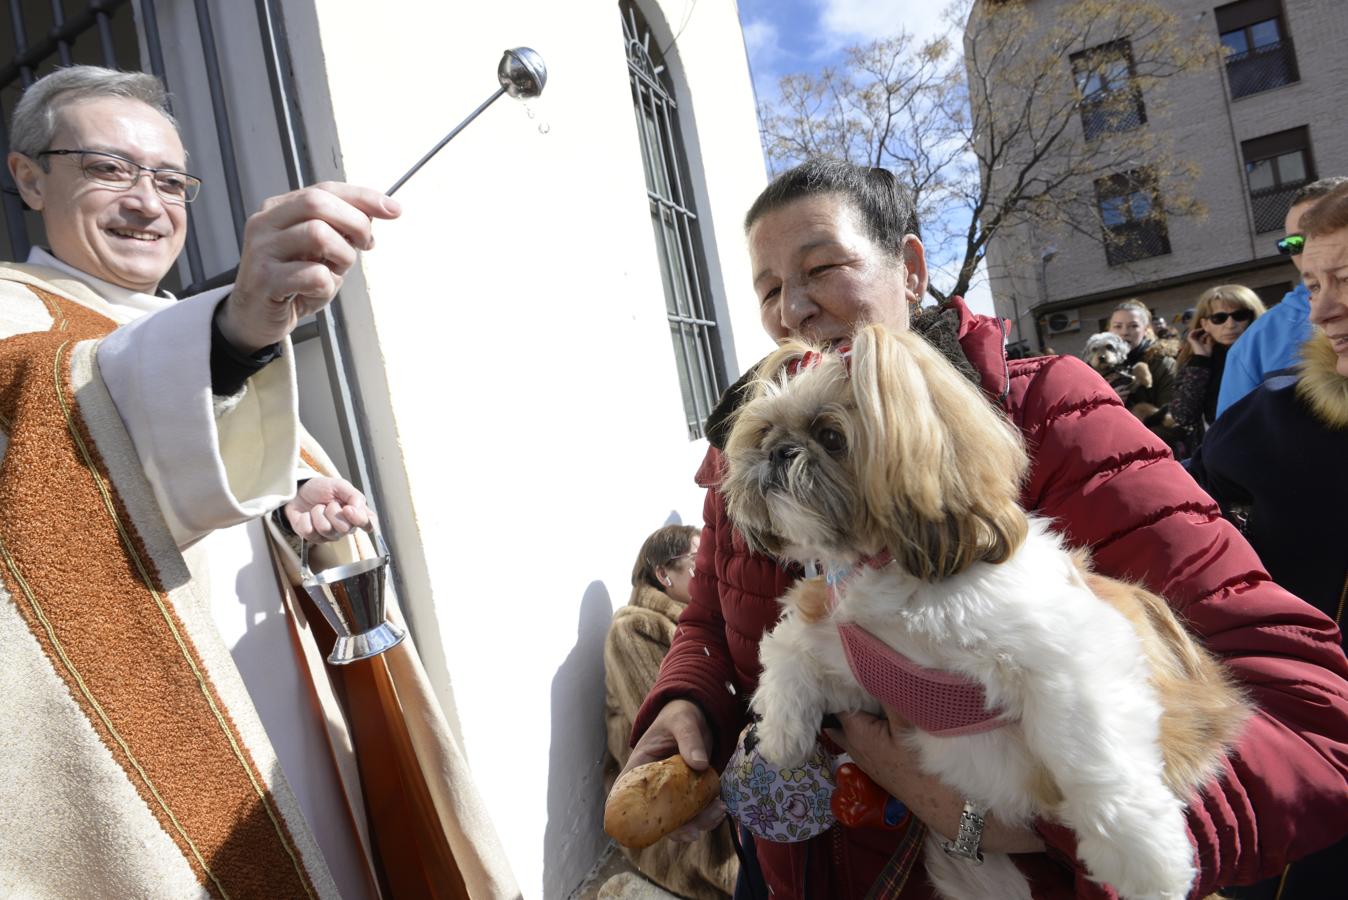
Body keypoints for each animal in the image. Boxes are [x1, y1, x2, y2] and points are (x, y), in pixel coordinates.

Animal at [722, 324, 1245, 900]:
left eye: (832, 436)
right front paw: (782, 731)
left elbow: (1092, 752)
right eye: (763, 432)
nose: (778, 452)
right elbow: (789, 652)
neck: (897, 572)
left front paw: (1146, 859)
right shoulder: (859, 674)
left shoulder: (1073, 654)